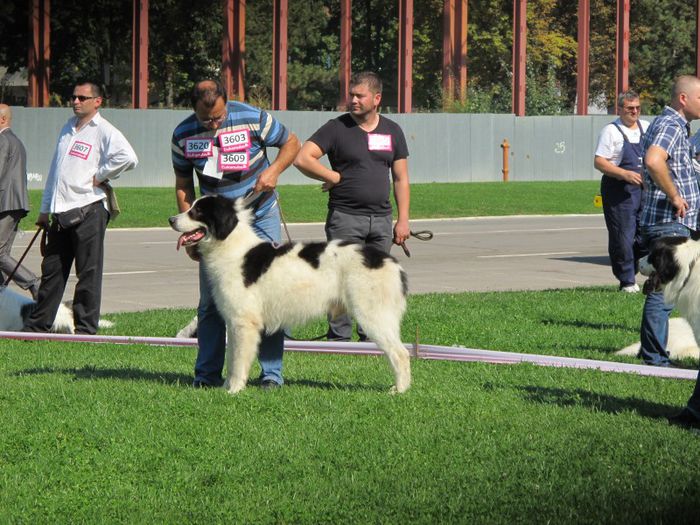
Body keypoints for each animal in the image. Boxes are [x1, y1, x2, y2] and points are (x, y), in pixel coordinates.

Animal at [170, 195, 410, 392]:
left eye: (197, 211)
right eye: (191, 206)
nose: (171, 219)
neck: (232, 248)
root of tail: (390, 262)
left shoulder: (244, 323)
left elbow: (238, 361)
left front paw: (234, 390)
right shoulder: (234, 322)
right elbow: (230, 359)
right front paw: (225, 387)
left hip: (373, 316)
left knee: (401, 353)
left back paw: (399, 390)